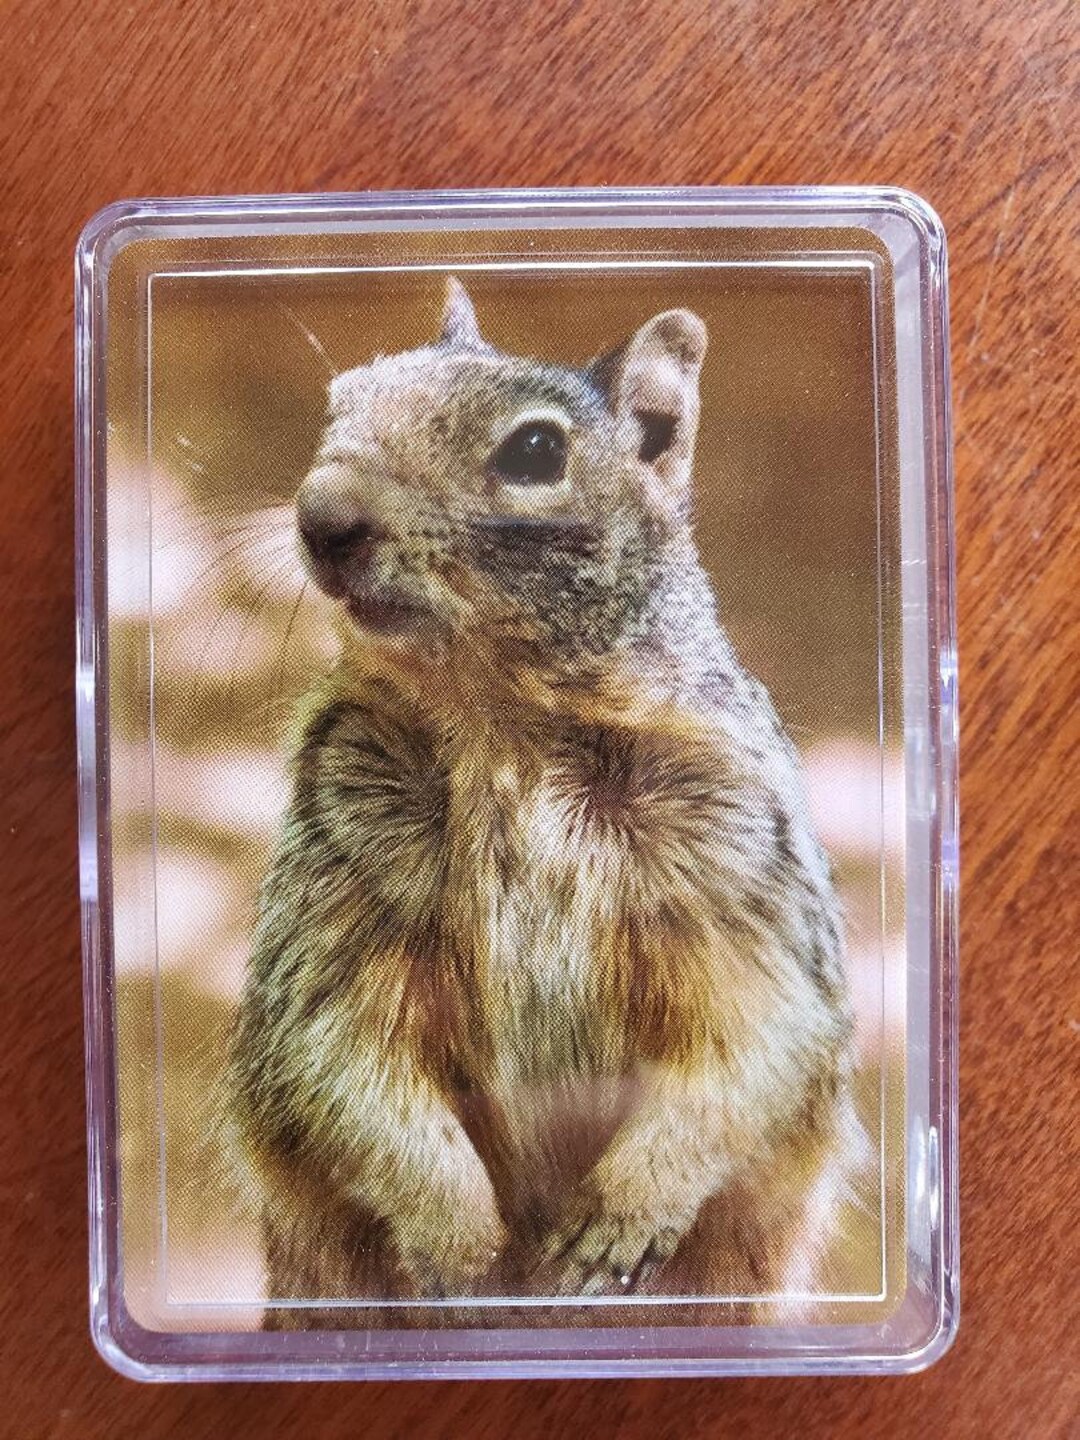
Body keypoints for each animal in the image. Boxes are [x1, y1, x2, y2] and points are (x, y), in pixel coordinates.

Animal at [227, 278, 857, 1329]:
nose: (324, 517)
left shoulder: (739, 869)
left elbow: (754, 1035)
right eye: (340, 397)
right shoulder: (331, 893)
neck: (499, 719)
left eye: (534, 451)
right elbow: (342, 1054)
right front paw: (459, 1241)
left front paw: (615, 1221)